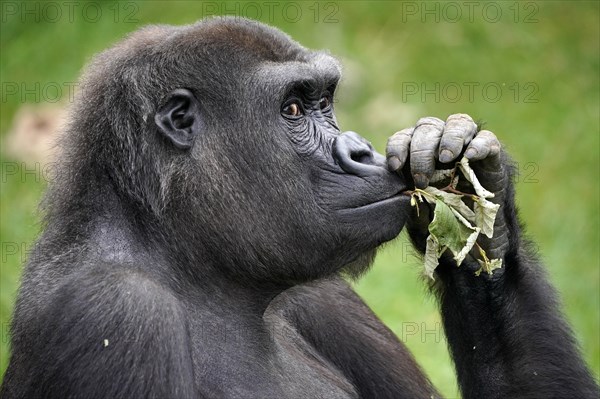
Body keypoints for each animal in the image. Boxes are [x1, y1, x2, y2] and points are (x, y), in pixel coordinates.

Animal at [2, 17, 596, 398]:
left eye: (325, 102)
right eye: (292, 109)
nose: (361, 151)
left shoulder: (322, 291)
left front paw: (474, 197)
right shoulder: (114, 311)